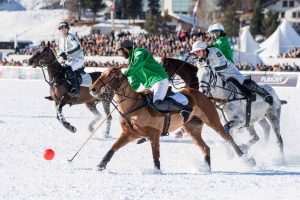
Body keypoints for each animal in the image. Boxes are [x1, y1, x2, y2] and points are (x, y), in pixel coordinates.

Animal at [89, 67, 255, 172]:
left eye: (110, 75)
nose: (92, 89)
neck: (133, 106)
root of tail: (205, 95)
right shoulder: (129, 134)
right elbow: (113, 147)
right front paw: (101, 165)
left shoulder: (154, 134)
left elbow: (155, 155)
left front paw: (157, 171)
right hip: (192, 129)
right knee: (205, 148)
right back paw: (207, 168)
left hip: (213, 121)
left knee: (228, 138)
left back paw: (247, 159)